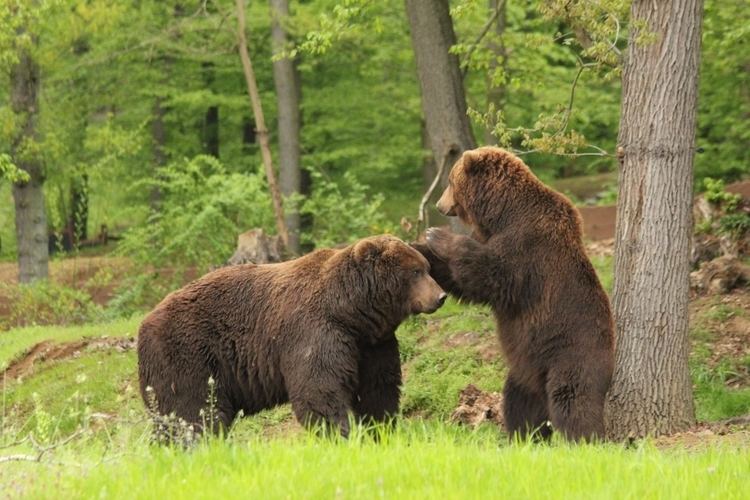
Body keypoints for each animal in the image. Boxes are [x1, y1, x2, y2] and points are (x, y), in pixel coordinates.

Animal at [137, 234, 446, 438]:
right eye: (415, 271)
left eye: (427, 268)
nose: (440, 296)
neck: (350, 311)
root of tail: (144, 323)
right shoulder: (314, 332)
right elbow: (320, 390)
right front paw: (342, 432)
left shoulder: (371, 345)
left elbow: (378, 388)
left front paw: (380, 429)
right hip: (188, 354)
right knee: (193, 409)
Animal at [418, 146, 616, 442]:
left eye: (451, 181)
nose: (440, 205)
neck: (503, 213)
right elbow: (463, 281)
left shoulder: (528, 246)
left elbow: (492, 276)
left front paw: (436, 236)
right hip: (526, 369)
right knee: (519, 402)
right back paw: (525, 437)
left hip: (571, 354)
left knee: (573, 400)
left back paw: (584, 440)